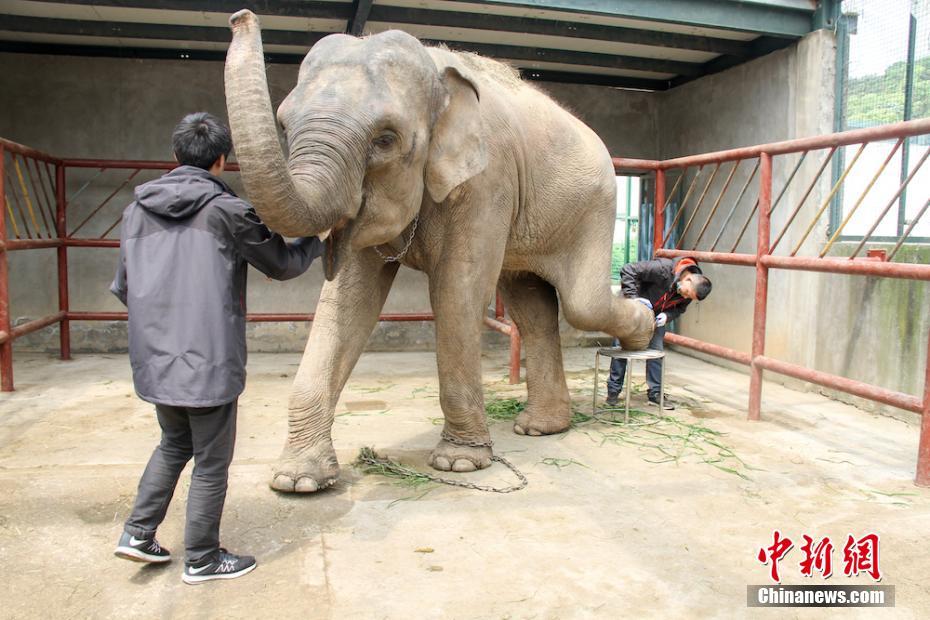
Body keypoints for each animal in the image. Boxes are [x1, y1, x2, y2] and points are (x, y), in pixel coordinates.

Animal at [224, 9, 652, 492]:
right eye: (283, 126)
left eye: (386, 139)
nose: (241, 17)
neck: (437, 74)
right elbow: (348, 300)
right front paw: (297, 481)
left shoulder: (488, 180)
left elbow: (456, 290)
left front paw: (459, 463)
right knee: (532, 305)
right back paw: (541, 427)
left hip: (594, 206)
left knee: (582, 303)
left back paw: (643, 333)